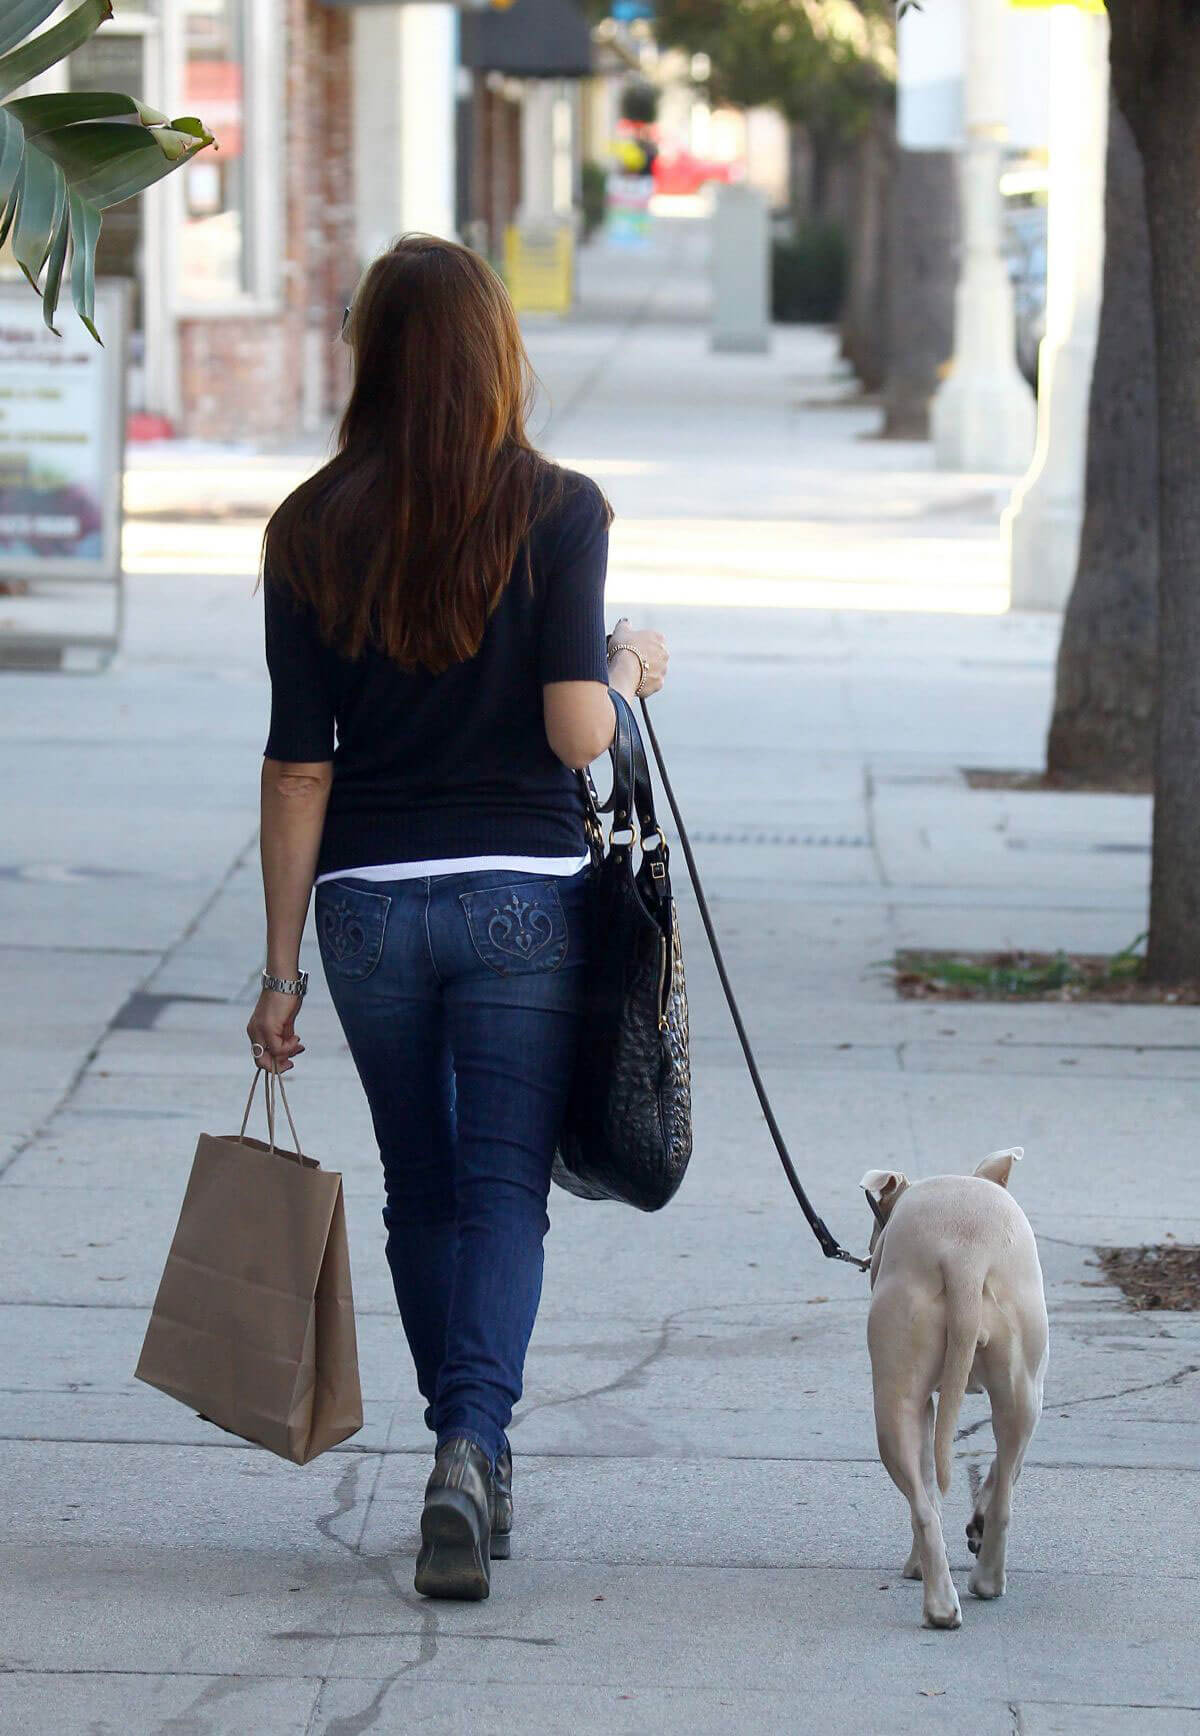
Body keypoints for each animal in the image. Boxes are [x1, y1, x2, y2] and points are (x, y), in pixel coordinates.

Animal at [864, 1152, 1048, 1624]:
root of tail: (965, 1256)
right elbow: (1002, 1469)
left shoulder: (931, 1406)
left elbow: (931, 1482)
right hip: (1023, 1390)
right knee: (1001, 1489)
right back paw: (981, 1583)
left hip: (897, 1399)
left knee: (924, 1506)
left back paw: (942, 1603)